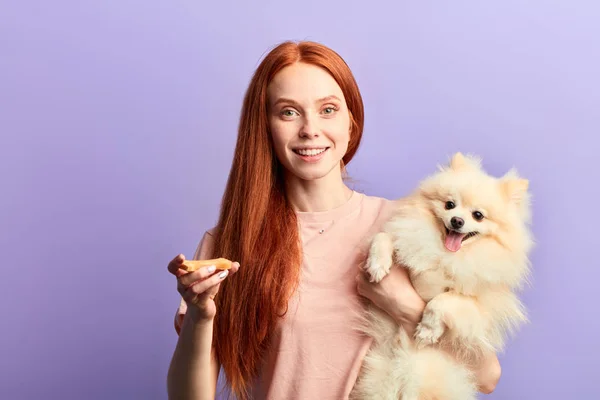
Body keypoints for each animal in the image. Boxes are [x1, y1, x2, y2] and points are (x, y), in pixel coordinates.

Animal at [352, 152, 536, 400]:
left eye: (478, 215)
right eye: (449, 205)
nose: (457, 220)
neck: (445, 255)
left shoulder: (481, 307)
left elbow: (444, 300)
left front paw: (427, 331)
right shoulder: (409, 241)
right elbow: (384, 236)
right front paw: (378, 264)